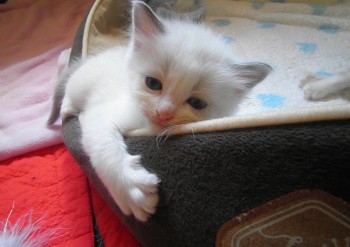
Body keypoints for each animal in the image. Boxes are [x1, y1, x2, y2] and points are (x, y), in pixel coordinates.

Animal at [47, 1, 270, 222]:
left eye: (196, 102)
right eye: (153, 83)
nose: (164, 112)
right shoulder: (100, 115)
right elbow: (104, 148)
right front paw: (132, 191)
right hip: (80, 84)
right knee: (68, 89)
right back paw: (67, 108)